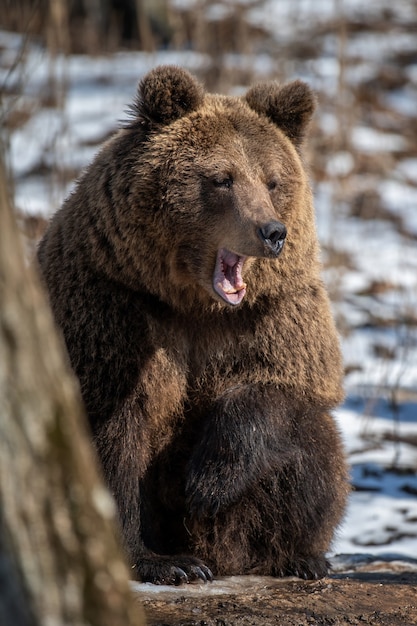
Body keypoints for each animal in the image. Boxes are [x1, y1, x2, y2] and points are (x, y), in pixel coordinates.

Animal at [36, 66, 348, 584]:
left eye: (273, 181)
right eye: (222, 178)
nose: (272, 232)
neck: (195, 304)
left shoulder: (273, 314)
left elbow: (286, 387)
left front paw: (207, 482)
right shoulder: (112, 309)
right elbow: (116, 441)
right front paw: (156, 562)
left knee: (317, 449)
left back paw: (298, 556)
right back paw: (183, 559)